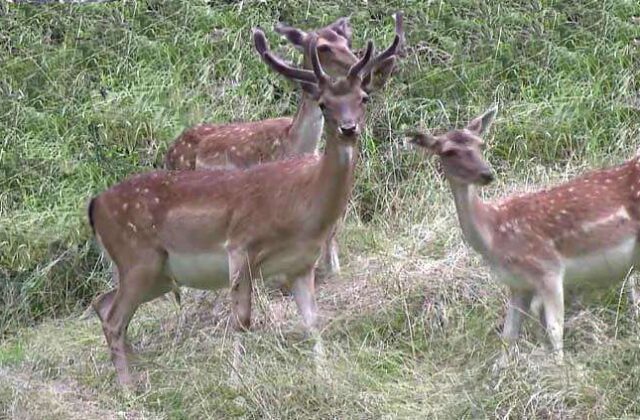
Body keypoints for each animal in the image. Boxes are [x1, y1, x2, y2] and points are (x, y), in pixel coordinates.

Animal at [407, 106, 640, 365]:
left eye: (481, 144)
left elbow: (555, 330)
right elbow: (508, 336)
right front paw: (503, 369)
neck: (494, 237)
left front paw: (562, 369)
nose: (487, 174)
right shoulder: (518, 284)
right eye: (449, 151)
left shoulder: (548, 268)